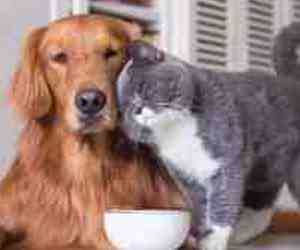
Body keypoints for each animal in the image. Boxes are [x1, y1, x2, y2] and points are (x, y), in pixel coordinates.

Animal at [116, 43, 300, 250]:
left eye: (143, 88)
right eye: (126, 108)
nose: (137, 110)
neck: (177, 131)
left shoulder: (227, 163)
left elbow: (223, 201)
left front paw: (214, 241)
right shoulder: (188, 179)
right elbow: (203, 209)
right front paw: (204, 237)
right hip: (266, 170)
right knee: (262, 204)